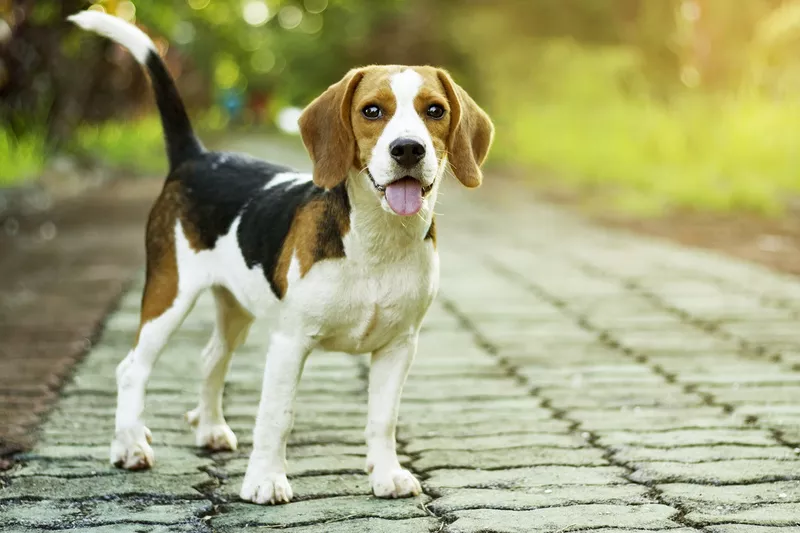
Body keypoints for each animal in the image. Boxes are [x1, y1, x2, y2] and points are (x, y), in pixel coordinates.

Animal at [70, 11, 494, 502]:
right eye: (372, 110)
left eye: (435, 111)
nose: (408, 148)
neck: (377, 240)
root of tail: (196, 157)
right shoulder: (290, 342)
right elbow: (277, 417)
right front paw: (266, 480)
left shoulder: (399, 345)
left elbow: (383, 418)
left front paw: (387, 474)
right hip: (168, 295)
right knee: (132, 369)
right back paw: (130, 445)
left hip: (234, 307)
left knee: (211, 358)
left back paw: (210, 429)